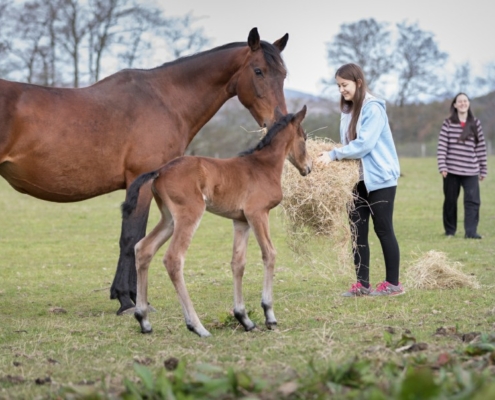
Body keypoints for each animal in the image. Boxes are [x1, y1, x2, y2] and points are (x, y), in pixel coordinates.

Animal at [122, 106, 312, 338]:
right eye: (304, 138)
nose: (308, 168)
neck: (262, 166)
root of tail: (160, 171)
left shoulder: (241, 221)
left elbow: (238, 263)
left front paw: (244, 319)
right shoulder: (257, 213)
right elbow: (269, 253)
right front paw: (269, 315)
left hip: (169, 219)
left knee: (143, 248)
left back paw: (144, 320)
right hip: (190, 214)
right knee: (173, 258)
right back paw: (197, 326)